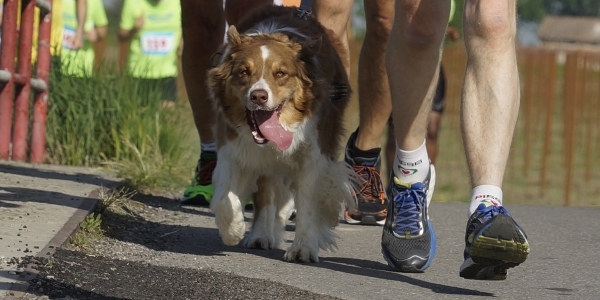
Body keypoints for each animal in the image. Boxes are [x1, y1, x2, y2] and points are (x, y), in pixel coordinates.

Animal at [209, 4, 354, 262]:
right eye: (244, 72)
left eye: (281, 74)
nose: (258, 96)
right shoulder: (233, 147)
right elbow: (225, 196)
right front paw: (232, 229)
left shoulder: (313, 154)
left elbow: (308, 201)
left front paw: (303, 248)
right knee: (269, 193)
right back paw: (261, 235)